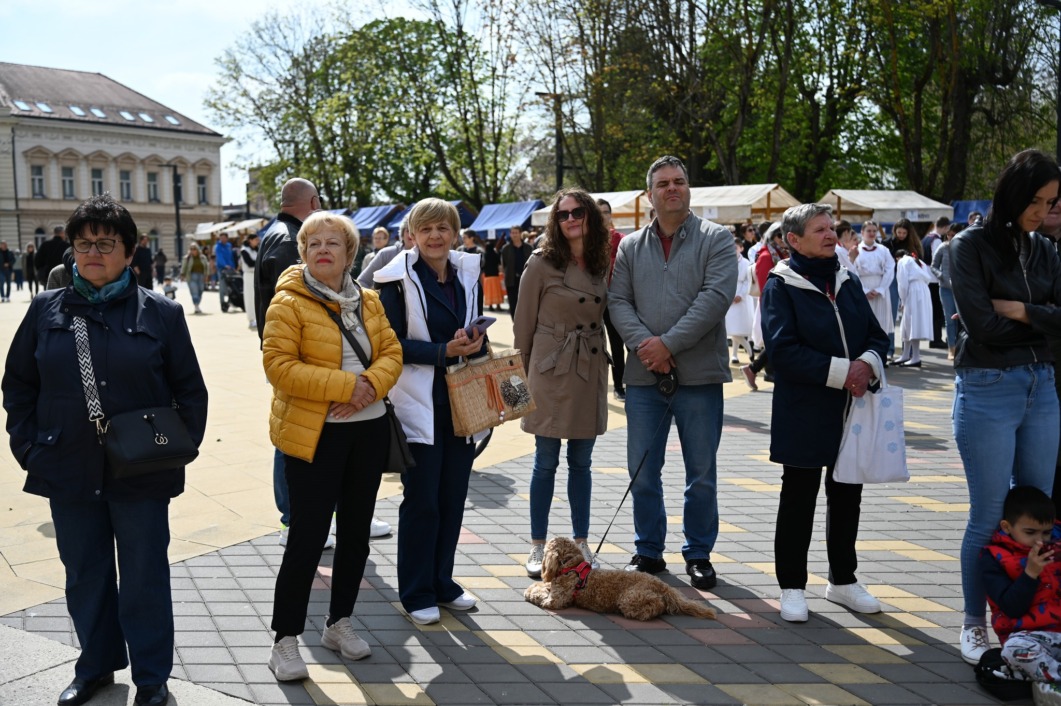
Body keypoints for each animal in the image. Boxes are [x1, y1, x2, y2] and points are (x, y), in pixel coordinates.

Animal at [524, 537, 717, 621]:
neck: (572, 568)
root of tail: (663, 586)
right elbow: (540, 586)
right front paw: (534, 588)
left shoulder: (557, 599)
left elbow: (543, 597)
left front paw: (532, 594)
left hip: (630, 598)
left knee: (656, 605)